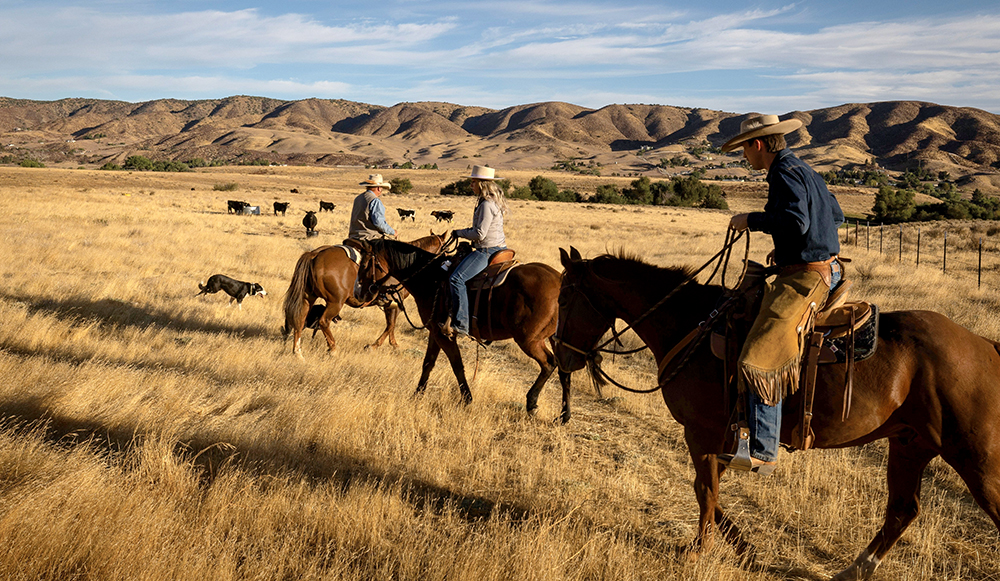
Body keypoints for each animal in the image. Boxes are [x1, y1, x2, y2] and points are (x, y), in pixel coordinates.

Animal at [282, 232, 446, 357]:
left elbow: (391, 324)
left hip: (308, 297)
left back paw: (297, 353)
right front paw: (375, 346)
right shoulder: (394, 303)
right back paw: (333, 349)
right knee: (324, 321)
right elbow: (391, 325)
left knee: (300, 319)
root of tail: (315, 255)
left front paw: (393, 344)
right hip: (335, 302)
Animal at [353, 239, 566, 413]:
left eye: (364, 264)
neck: (430, 278)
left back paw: (532, 404)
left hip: (529, 340)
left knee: (549, 363)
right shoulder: (435, 332)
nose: (358, 293)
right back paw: (563, 415)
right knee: (562, 370)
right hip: (552, 339)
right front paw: (417, 394)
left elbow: (457, 365)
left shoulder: (444, 334)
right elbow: (428, 363)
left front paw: (467, 399)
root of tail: (559, 281)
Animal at [553, 246, 1000, 580]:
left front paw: (698, 550)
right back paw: (854, 570)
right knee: (902, 510)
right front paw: (743, 549)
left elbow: (705, 490)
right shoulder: (718, 437)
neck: (688, 325)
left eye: (564, 297)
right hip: (910, 445)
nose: (560, 354)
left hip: (975, 459)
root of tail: (985, 345)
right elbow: (709, 491)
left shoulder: (700, 432)